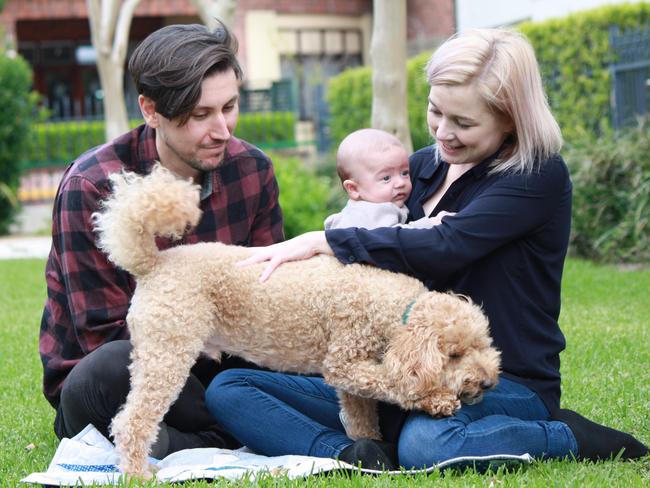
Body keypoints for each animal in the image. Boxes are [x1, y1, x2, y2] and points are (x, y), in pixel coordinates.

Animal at [91, 164, 498, 476]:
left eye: (482, 345)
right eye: (453, 355)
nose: (488, 382)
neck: (394, 309)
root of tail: (154, 263)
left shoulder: (352, 381)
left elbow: (361, 417)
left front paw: (370, 444)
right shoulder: (344, 363)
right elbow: (394, 382)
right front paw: (436, 400)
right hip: (167, 351)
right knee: (131, 422)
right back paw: (138, 475)